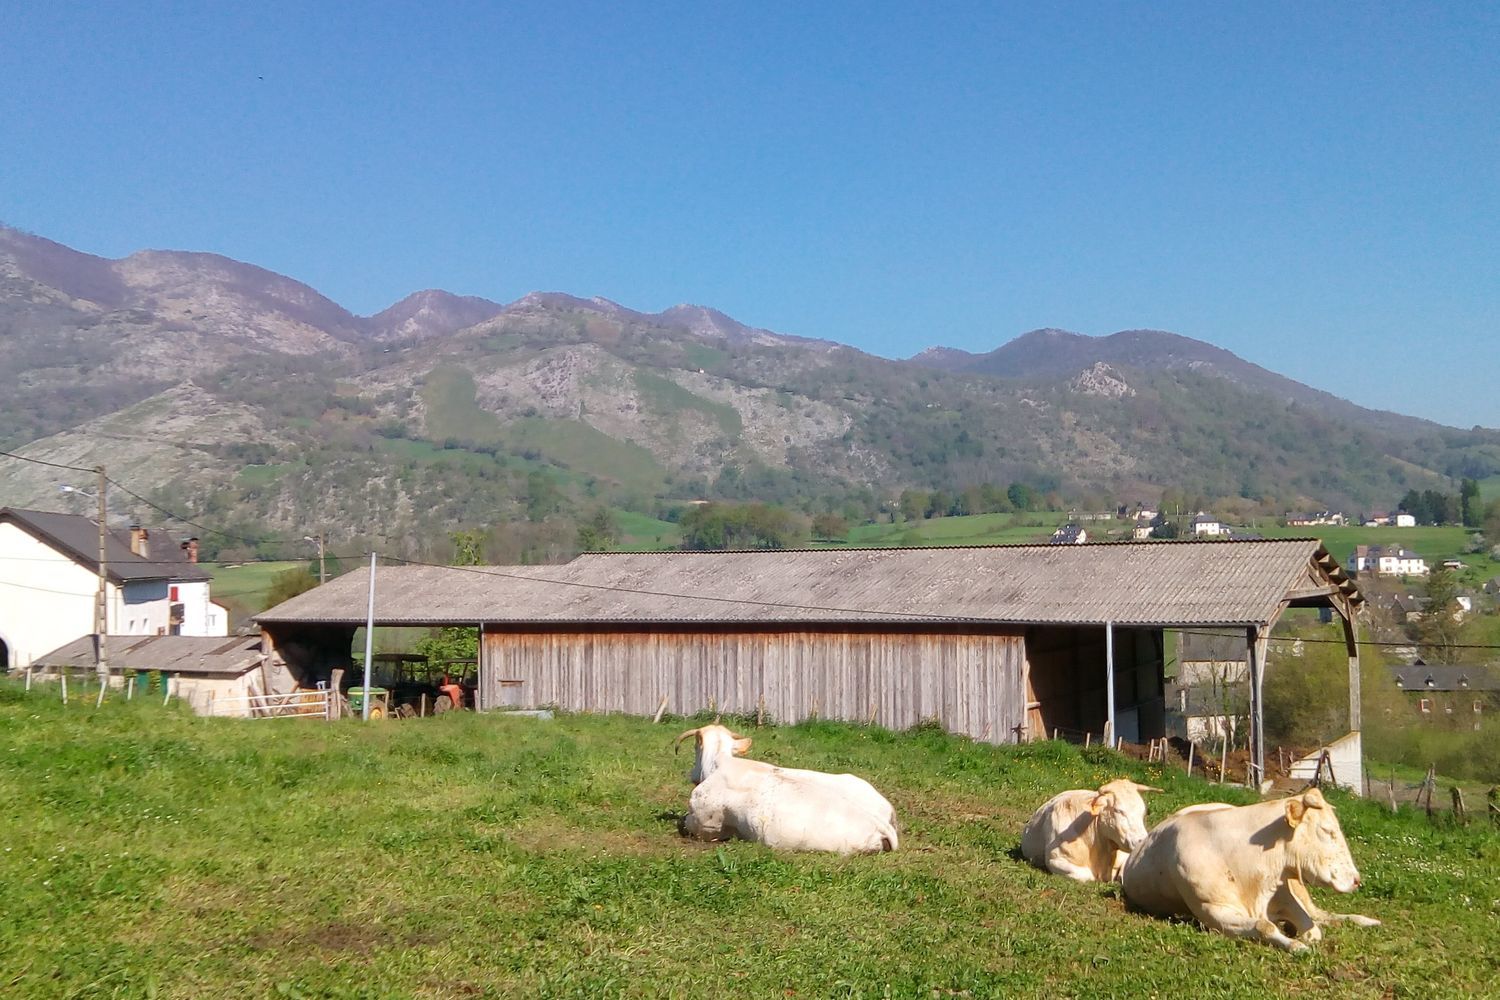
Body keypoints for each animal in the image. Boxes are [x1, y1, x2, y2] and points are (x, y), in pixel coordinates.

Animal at [1121, 788, 1377, 952]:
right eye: (1327, 830)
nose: (1357, 879)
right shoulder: (1211, 910)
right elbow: (1267, 926)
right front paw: (1296, 945)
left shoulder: (1284, 896)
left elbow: (1312, 930)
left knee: (1320, 915)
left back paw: (1366, 920)